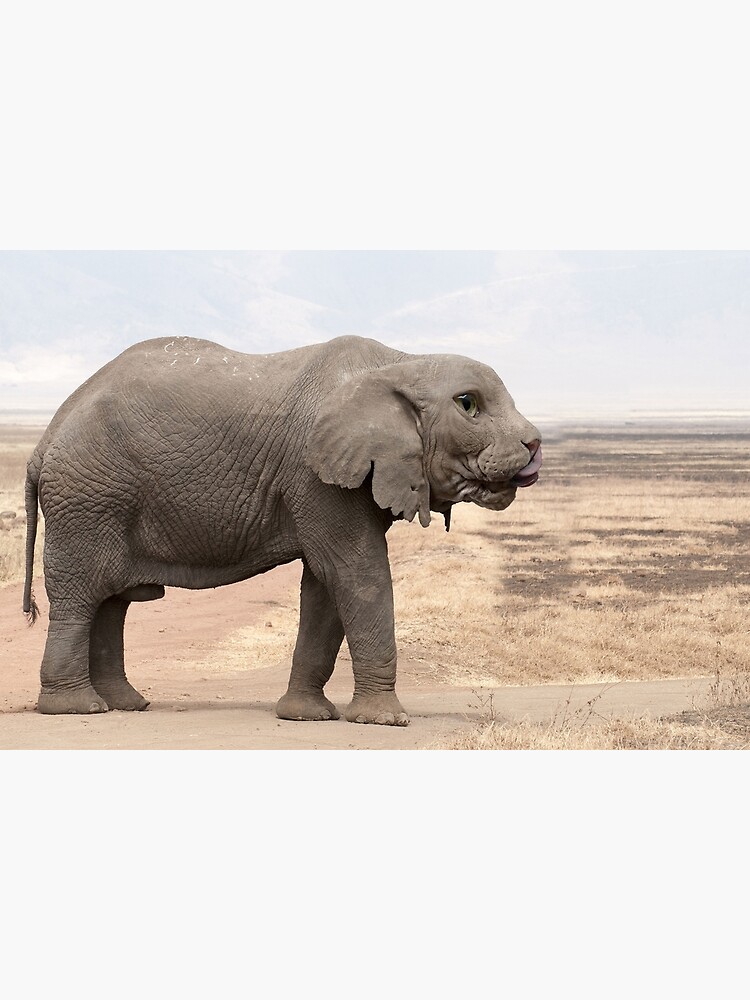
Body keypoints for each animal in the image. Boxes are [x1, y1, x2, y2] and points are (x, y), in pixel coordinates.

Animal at [23, 334, 542, 726]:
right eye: (467, 405)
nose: (535, 446)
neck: (401, 362)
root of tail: (44, 440)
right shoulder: (314, 475)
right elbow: (357, 574)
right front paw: (385, 721)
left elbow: (325, 587)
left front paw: (305, 717)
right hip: (88, 498)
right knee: (81, 597)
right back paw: (77, 709)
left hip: (101, 498)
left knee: (112, 602)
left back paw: (127, 705)